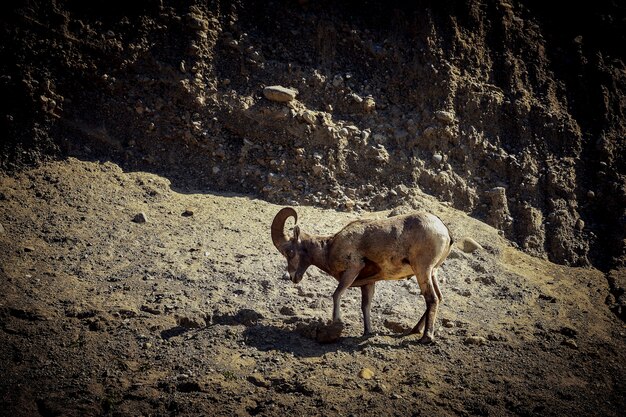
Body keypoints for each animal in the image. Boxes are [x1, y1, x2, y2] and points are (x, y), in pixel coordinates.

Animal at [270, 207, 450, 342]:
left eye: (290, 252)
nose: (293, 277)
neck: (329, 248)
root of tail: (445, 232)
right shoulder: (368, 283)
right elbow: (365, 306)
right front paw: (367, 332)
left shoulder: (352, 270)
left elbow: (336, 294)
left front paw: (337, 322)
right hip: (432, 272)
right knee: (439, 298)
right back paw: (414, 330)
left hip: (422, 270)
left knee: (432, 299)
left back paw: (426, 338)